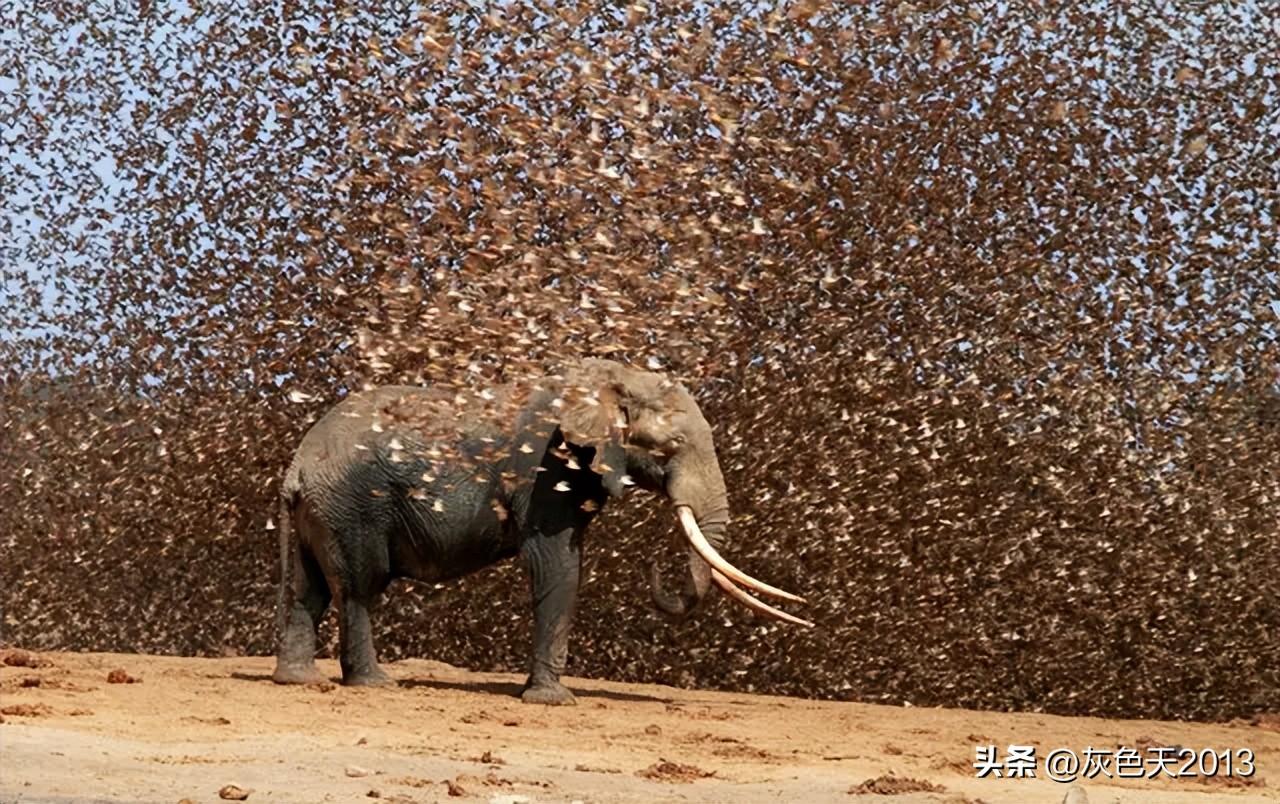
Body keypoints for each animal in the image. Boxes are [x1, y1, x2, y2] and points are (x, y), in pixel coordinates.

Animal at [270, 358, 808, 701]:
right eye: (670, 446)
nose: (656, 568)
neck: (605, 382)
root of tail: (297, 464)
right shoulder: (547, 471)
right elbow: (557, 565)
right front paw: (554, 700)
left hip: (321, 512)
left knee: (308, 589)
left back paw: (297, 681)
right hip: (353, 507)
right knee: (360, 586)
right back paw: (376, 685)